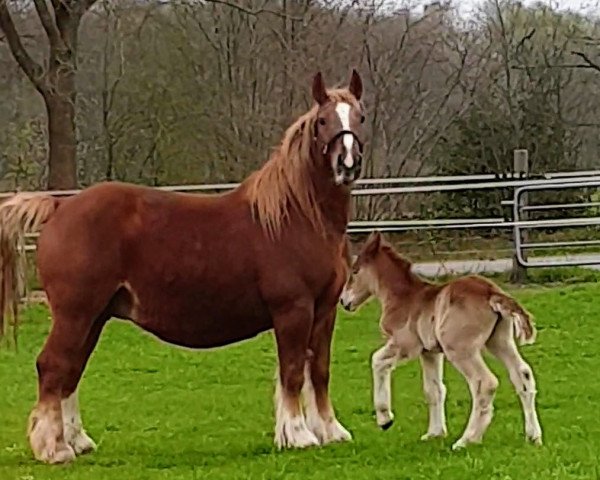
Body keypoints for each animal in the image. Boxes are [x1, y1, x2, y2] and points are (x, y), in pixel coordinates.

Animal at [0, 69, 366, 464]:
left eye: (360, 117)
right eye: (323, 121)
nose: (347, 163)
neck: (297, 216)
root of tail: (59, 207)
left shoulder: (325, 311)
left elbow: (320, 369)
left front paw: (330, 431)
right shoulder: (293, 310)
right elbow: (294, 371)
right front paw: (298, 435)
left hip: (93, 317)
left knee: (71, 370)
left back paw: (77, 441)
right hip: (75, 314)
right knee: (53, 366)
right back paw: (54, 448)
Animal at [340, 232, 540, 450]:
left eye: (354, 271)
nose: (343, 301)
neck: (404, 297)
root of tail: (491, 293)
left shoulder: (406, 344)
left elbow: (377, 360)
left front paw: (385, 419)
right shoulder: (430, 352)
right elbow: (433, 389)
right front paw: (434, 433)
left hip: (459, 349)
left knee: (484, 382)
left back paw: (467, 440)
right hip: (499, 340)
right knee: (522, 374)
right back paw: (533, 436)